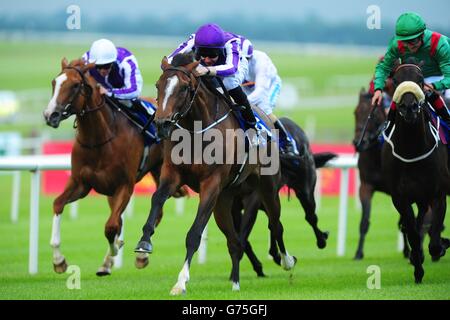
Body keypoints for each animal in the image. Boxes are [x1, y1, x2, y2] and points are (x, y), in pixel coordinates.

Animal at [42, 58, 163, 276]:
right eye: (54, 82)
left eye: (75, 85)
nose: (50, 114)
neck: (100, 139)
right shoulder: (81, 183)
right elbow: (57, 204)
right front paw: (58, 260)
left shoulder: (125, 185)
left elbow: (111, 226)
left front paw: (115, 251)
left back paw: (140, 255)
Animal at [134, 53, 296, 296]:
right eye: (158, 85)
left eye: (184, 88)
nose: (162, 124)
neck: (196, 130)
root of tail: (265, 117)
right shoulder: (173, 175)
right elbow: (157, 199)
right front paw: (144, 244)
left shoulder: (211, 184)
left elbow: (194, 235)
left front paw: (181, 282)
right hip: (224, 200)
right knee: (234, 241)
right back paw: (236, 282)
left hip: (266, 187)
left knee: (276, 224)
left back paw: (287, 261)